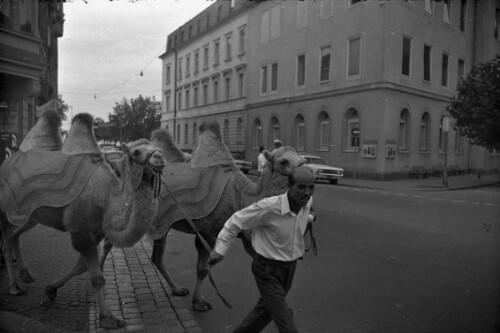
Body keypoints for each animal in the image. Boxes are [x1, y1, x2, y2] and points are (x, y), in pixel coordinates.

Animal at [0, 111, 168, 326]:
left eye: (159, 149)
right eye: (136, 152)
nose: (159, 157)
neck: (106, 196)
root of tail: (6, 161)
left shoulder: (95, 232)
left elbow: (81, 267)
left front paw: (51, 289)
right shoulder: (80, 232)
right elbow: (96, 277)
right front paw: (108, 317)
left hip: (29, 215)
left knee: (15, 235)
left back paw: (25, 275)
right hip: (3, 209)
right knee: (6, 240)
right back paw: (14, 287)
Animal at [112, 120, 304, 310]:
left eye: (301, 158)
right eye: (283, 161)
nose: (306, 171)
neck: (240, 196)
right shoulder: (207, 232)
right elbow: (203, 269)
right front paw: (199, 302)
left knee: (156, 257)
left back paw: (177, 289)